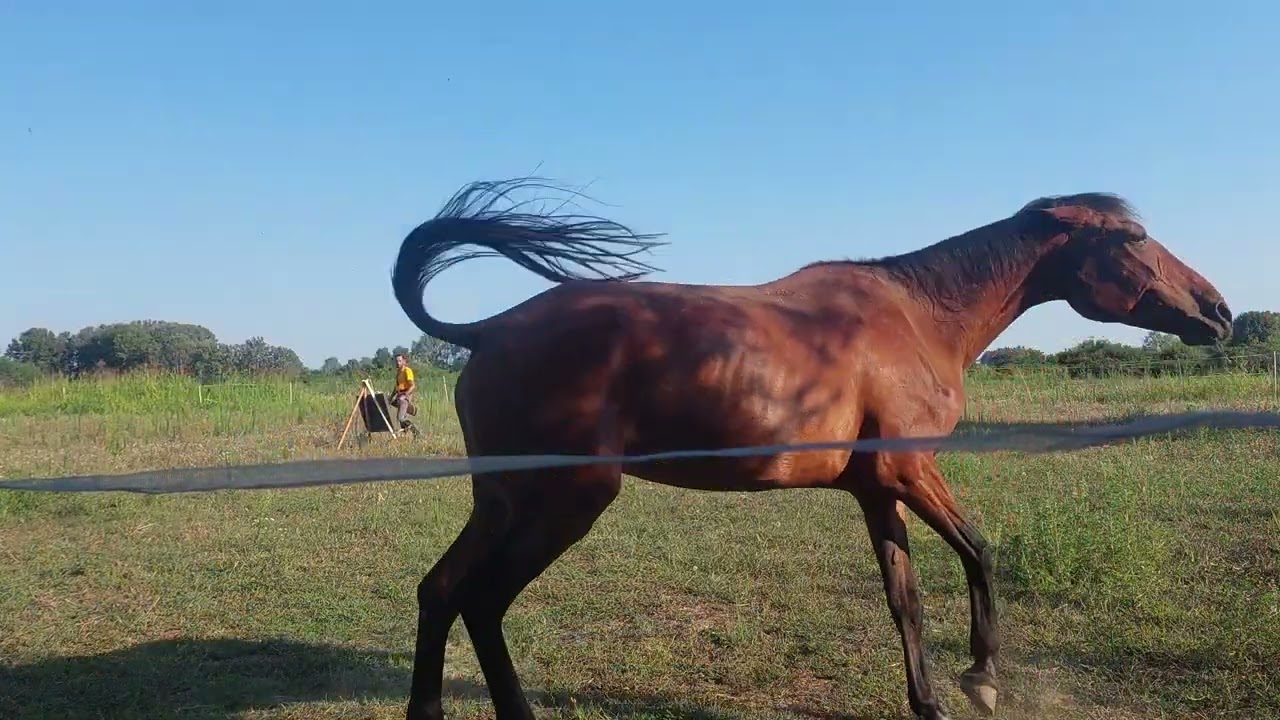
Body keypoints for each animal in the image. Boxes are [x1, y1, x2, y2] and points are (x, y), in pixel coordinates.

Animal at [389, 178, 1232, 720]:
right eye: (1133, 237)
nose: (1219, 312)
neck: (918, 317)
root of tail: (488, 331)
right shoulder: (909, 470)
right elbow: (980, 550)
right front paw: (983, 675)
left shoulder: (876, 490)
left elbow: (905, 600)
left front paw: (930, 702)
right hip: (566, 503)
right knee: (481, 601)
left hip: (503, 503)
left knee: (442, 591)